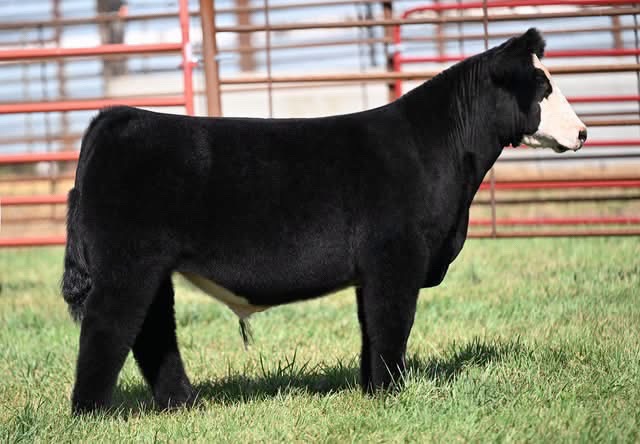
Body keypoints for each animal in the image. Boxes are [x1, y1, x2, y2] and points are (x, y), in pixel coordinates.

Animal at [62, 28, 586, 414]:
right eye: (543, 88)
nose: (583, 132)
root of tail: (117, 117)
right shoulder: (396, 259)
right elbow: (392, 325)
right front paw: (392, 395)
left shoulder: (372, 270)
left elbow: (371, 330)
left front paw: (372, 390)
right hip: (127, 265)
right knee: (108, 328)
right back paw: (92, 413)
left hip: (151, 269)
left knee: (152, 333)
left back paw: (184, 404)